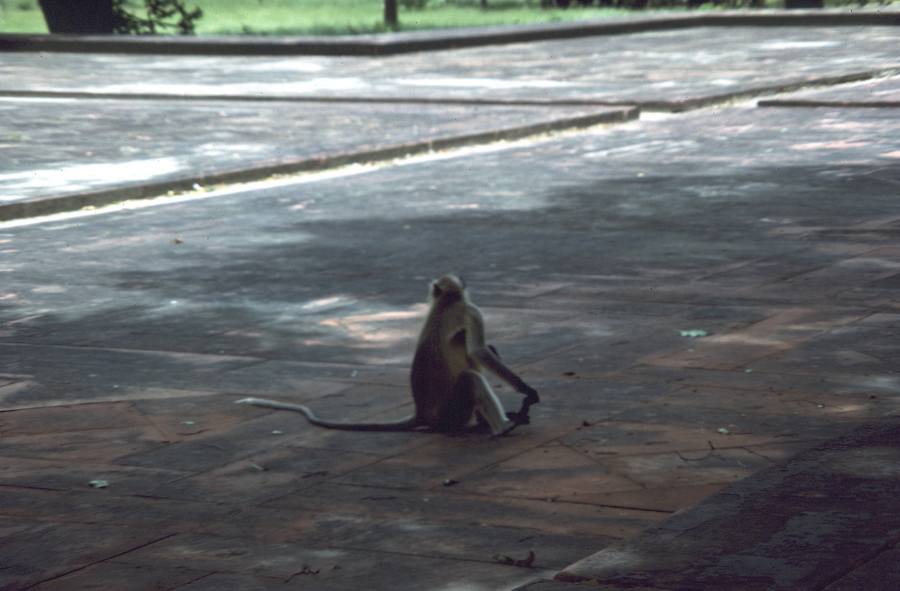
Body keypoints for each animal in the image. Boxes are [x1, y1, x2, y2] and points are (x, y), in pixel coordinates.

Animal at [236, 276, 536, 438]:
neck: (445, 302)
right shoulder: (470, 310)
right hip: (450, 413)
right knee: (472, 377)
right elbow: (477, 351)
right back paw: (502, 428)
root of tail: (422, 413)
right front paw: (528, 391)